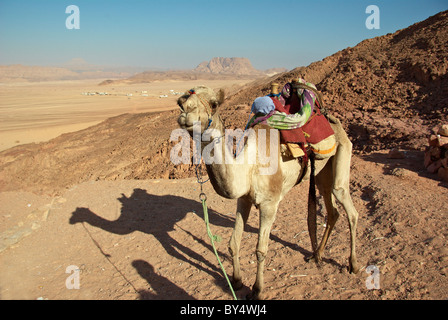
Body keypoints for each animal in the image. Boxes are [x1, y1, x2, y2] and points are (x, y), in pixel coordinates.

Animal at [176, 84, 360, 298]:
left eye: (214, 104)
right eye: (180, 101)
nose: (185, 110)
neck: (250, 166)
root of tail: (333, 121)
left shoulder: (269, 204)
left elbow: (260, 250)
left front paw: (257, 290)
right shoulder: (243, 200)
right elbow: (233, 242)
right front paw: (236, 281)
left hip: (343, 153)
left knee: (348, 206)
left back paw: (353, 265)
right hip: (322, 172)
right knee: (332, 210)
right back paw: (317, 255)